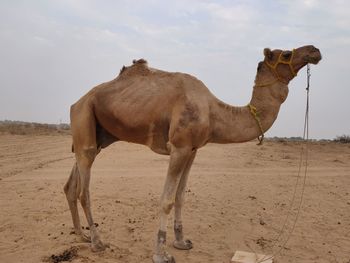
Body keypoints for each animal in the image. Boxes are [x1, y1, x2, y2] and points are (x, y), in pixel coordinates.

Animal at [64, 44, 322, 262]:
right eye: (286, 53)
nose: (314, 50)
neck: (213, 111)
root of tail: (75, 103)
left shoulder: (193, 150)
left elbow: (181, 196)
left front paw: (181, 242)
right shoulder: (179, 147)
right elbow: (166, 200)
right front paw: (161, 254)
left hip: (97, 135)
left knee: (71, 184)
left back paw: (80, 235)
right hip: (84, 117)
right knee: (84, 190)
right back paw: (97, 242)